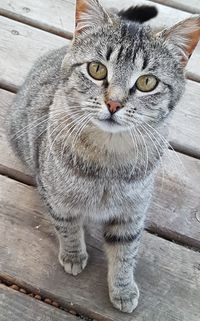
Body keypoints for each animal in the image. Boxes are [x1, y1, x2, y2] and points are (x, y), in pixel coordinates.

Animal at [7, 0, 200, 312]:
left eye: (147, 82)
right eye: (97, 69)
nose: (113, 103)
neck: (109, 159)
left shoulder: (132, 213)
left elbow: (126, 251)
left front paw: (123, 289)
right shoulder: (58, 200)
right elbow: (67, 227)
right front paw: (74, 255)